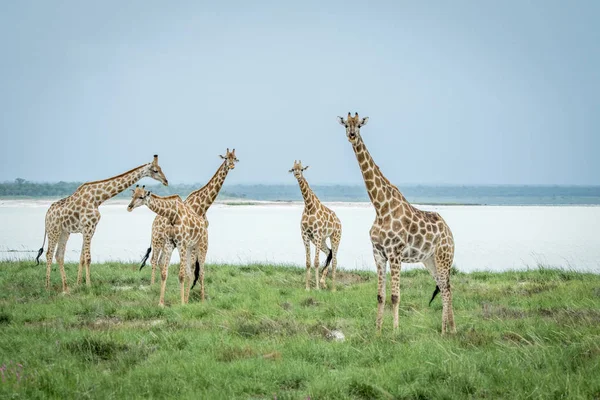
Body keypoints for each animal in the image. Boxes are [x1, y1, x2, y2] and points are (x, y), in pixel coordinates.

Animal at [35, 155, 169, 292]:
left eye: (160, 168)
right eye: (155, 170)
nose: (166, 181)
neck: (97, 198)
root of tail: (46, 215)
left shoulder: (90, 228)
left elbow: (82, 258)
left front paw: (79, 284)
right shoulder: (88, 227)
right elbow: (88, 258)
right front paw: (88, 285)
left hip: (64, 232)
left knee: (59, 255)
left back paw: (66, 288)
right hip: (53, 230)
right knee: (49, 254)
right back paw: (47, 287)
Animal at [139, 149, 238, 284]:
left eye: (235, 158)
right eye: (226, 158)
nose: (232, 166)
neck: (202, 206)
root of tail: (153, 223)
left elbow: (193, 266)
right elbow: (190, 266)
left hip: (166, 242)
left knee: (161, 261)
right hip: (157, 239)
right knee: (154, 260)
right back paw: (152, 285)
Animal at [290, 159, 342, 290]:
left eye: (302, 169)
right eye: (293, 169)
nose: (297, 175)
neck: (309, 207)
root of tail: (339, 222)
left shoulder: (317, 234)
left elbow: (316, 262)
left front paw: (317, 288)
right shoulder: (305, 235)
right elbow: (308, 262)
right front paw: (308, 287)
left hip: (335, 237)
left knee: (335, 260)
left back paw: (333, 288)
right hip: (320, 239)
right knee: (329, 252)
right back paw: (323, 282)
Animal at [338, 112, 454, 334]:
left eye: (359, 125)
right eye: (346, 124)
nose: (351, 135)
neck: (380, 207)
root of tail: (450, 232)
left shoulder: (395, 253)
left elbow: (395, 296)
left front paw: (395, 331)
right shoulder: (378, 253)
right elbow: (380, 296)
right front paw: (378, 331)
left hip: (444, 257)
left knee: (446, 288)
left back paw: (445, 331)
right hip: (430, 260)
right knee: (447, 287)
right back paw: (452, 329)